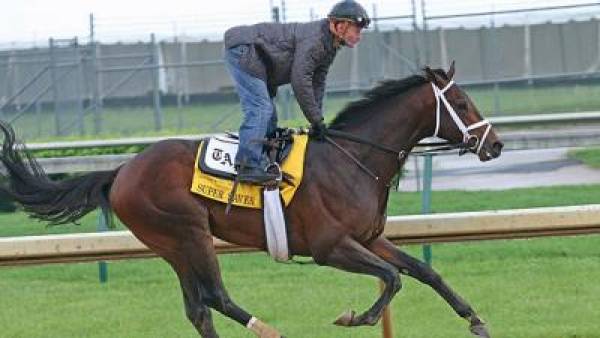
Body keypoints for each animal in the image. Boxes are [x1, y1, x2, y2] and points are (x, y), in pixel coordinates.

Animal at [0, 63, 502, 338]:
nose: (495, 145)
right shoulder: (330, 247)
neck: (353, 159)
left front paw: (474, 319)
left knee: (198, 308)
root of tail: (121, 171)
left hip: (171, 245)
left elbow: (422, 271)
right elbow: (392, 279)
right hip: (188, 232)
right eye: (461, 102)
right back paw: (269, 329)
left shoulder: (368, 238)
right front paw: (353, 317)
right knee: (216, 297)